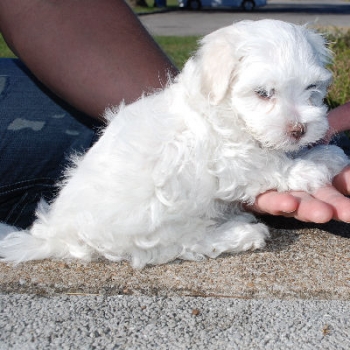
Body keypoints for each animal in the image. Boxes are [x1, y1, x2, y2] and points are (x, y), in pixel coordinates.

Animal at [0, 19, 348, 268]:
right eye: (263, 93)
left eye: (312, 88)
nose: (299, 129)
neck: (226, 109)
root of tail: (58, 233)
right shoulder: (228, 159)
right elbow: (268, 163)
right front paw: (314, 165)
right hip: (156, 222)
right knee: (183, 244)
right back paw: (239, 233)